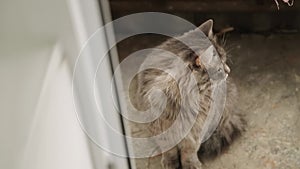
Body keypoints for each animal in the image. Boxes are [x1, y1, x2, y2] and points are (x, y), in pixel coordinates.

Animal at [133, 19, 244, 168]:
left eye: (225, 60)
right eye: (219, 69)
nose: (228, 70)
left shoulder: (197, 128)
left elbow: (189, 150)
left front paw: (190, 164)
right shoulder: (160, 127)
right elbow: (168, 149)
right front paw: (170, 162)